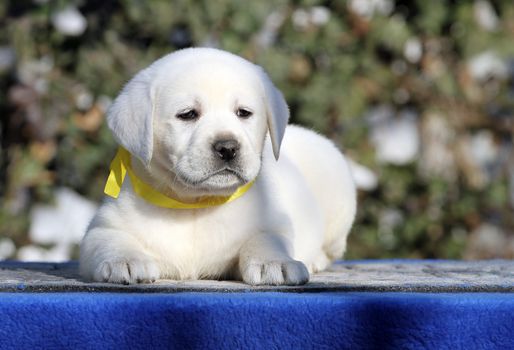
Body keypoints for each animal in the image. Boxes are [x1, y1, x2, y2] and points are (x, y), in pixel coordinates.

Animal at [79, 48, 356, 284]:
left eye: (243, 112)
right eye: (188, 114)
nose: (228, 148)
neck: (195, 205)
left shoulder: (275, 223)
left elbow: (265, 239)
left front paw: (275, 263)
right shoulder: (103, 226)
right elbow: (110, 239)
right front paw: (124, 260)